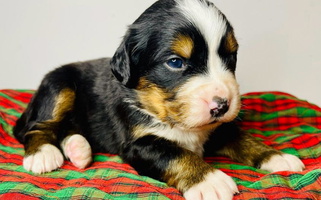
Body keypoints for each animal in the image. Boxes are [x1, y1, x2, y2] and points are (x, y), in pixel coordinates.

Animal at [14, 0, 302, 200]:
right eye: (175, 62)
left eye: (230, 57)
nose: (222, 105)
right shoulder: (139, 143)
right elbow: (175, 153)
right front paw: (210, 180)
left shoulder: (219, 129)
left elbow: (244, 139)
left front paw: (277, 157)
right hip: (58, 85)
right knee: (37, 127)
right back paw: (43, 154)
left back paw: (78, 149)